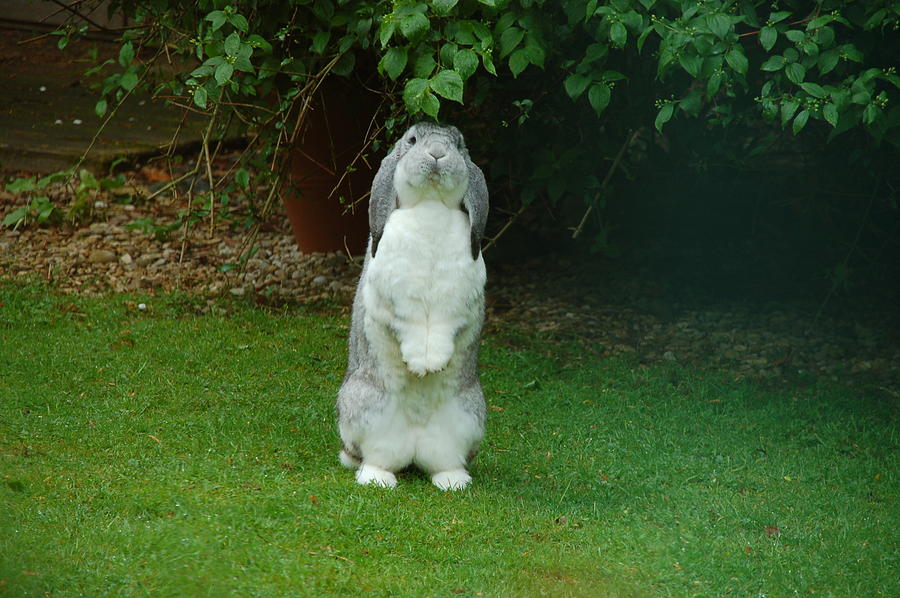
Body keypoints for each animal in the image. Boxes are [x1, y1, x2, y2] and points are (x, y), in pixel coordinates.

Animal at [338, 123, 492, 492]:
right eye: (412, 140)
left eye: (459, 144)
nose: (437, 152)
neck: (431, 204)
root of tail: (414, 446)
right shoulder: (395, 300)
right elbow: (407, 325)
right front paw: (420, 365)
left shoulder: (458, 302)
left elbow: (444, 327)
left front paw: (432, 364)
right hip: (364, 408)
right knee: (375, 458)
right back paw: (377, 480)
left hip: (468, 417)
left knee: (442, 461)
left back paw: (453, 482)